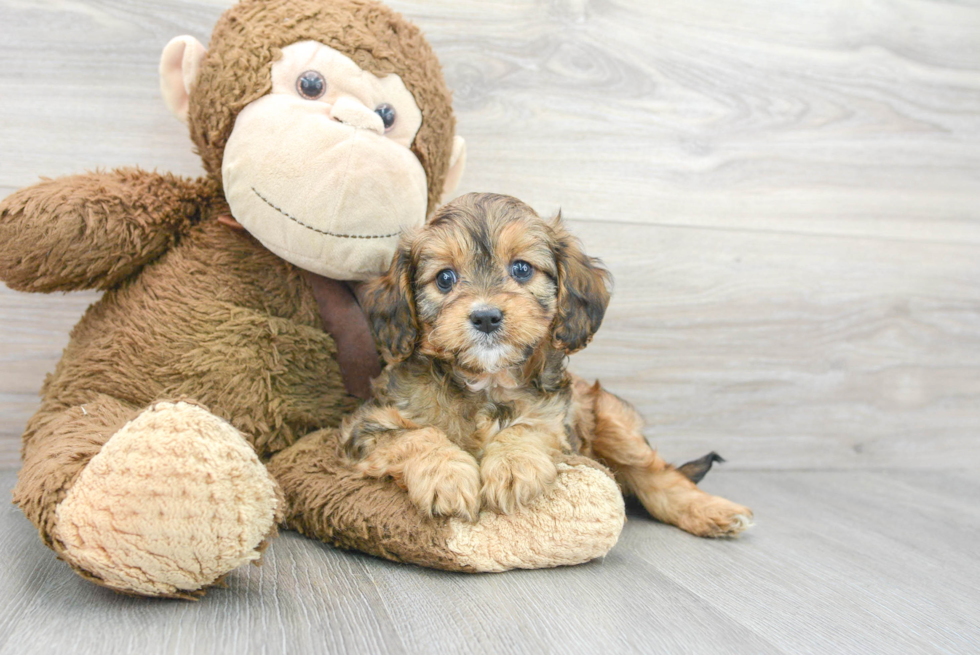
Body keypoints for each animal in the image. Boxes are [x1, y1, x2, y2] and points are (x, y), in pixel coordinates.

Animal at [340, 193, 756, 540]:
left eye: (522, 269)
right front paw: (447, 475)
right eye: (445, 278)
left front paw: (512, 467)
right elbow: (416, 436)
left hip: (610, 421)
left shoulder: (558, 421)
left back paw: (712, 511)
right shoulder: (366, 425)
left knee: (657, 476)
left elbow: (529, 427)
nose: (486, 317)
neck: (486, 381)